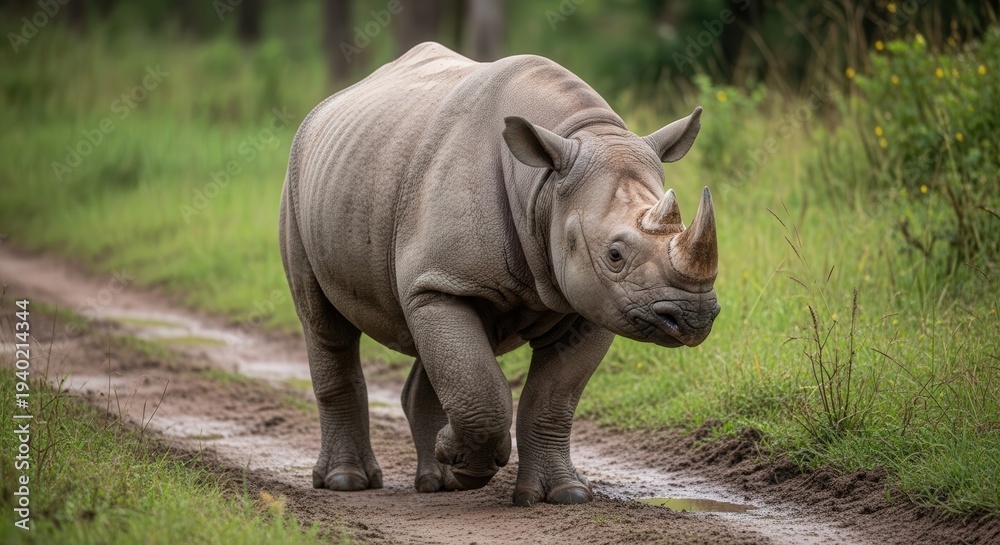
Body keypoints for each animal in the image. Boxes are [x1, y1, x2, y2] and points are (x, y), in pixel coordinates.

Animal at [279, 42, 720, 506]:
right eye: (615, 254)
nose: (692, 316)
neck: (545, 185)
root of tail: (327, 106)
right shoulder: (448, 279)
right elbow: (483, 392)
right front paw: (469, 463)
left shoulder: (596, 301)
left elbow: (552, 396)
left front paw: (563, 493)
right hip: (299, 180)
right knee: (324, 324)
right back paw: (349, 481)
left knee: (428, 339)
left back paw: (440, 481)